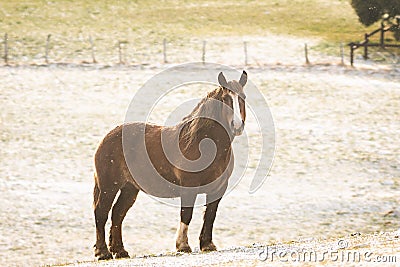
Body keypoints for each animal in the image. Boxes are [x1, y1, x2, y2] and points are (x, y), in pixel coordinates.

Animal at [93, 70, 247, 260]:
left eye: (243, 97)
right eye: (225, 99)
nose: (237, 125)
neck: (202, 143)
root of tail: (106, 138)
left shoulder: (218, 189)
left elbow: (210, 215)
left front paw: (207, 244)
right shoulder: (189, 187)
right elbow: (186, 214)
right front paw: (183, 245)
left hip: (129, 188)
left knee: (117, 214)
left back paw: (120, 251)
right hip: (109, 187)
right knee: (101, 213)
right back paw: (103, 252)